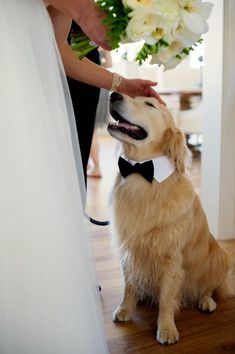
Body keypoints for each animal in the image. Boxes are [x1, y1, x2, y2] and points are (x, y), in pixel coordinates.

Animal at [108, 92, 231, 346]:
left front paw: (166, 329)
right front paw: (126, 308)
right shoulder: (130, 246)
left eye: (149, 104)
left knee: (209, 286)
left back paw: (206, 300)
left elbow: (166, 299)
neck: (142, 173)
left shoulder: (170, 256)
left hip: (218, 257)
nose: (114, 94)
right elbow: (129, 285)